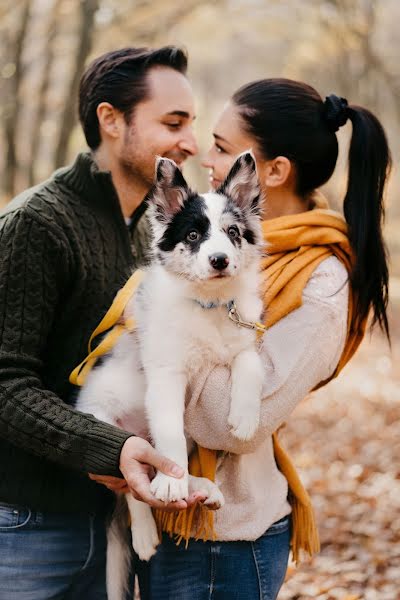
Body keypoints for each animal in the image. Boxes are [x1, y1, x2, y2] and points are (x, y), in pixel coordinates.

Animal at [77, 154, 268, 596]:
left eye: (233, 232)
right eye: (194, 235)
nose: (220, 260)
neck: (210, 305)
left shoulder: (244, 334)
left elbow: (248, 361)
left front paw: (244, 417)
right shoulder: (165, 373)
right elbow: (170, 435)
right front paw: (171, 484)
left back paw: (201, 488)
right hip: (106, 425)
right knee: (133, 483)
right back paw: (151, 525)